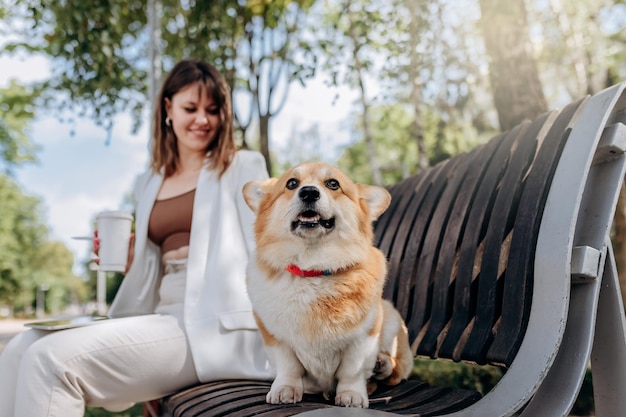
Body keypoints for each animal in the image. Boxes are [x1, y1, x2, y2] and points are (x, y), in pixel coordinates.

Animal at [241, 162, 412, 406]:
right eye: (292, 183)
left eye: (333, 184)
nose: (308, 192)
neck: (314, 269)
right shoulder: (276, 338)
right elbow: (289, 368)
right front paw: (285, 389)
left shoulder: (363, 337)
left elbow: (352, 371)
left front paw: (351, 395)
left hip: (390, 317)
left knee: (396, 369)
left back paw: (382, 364)